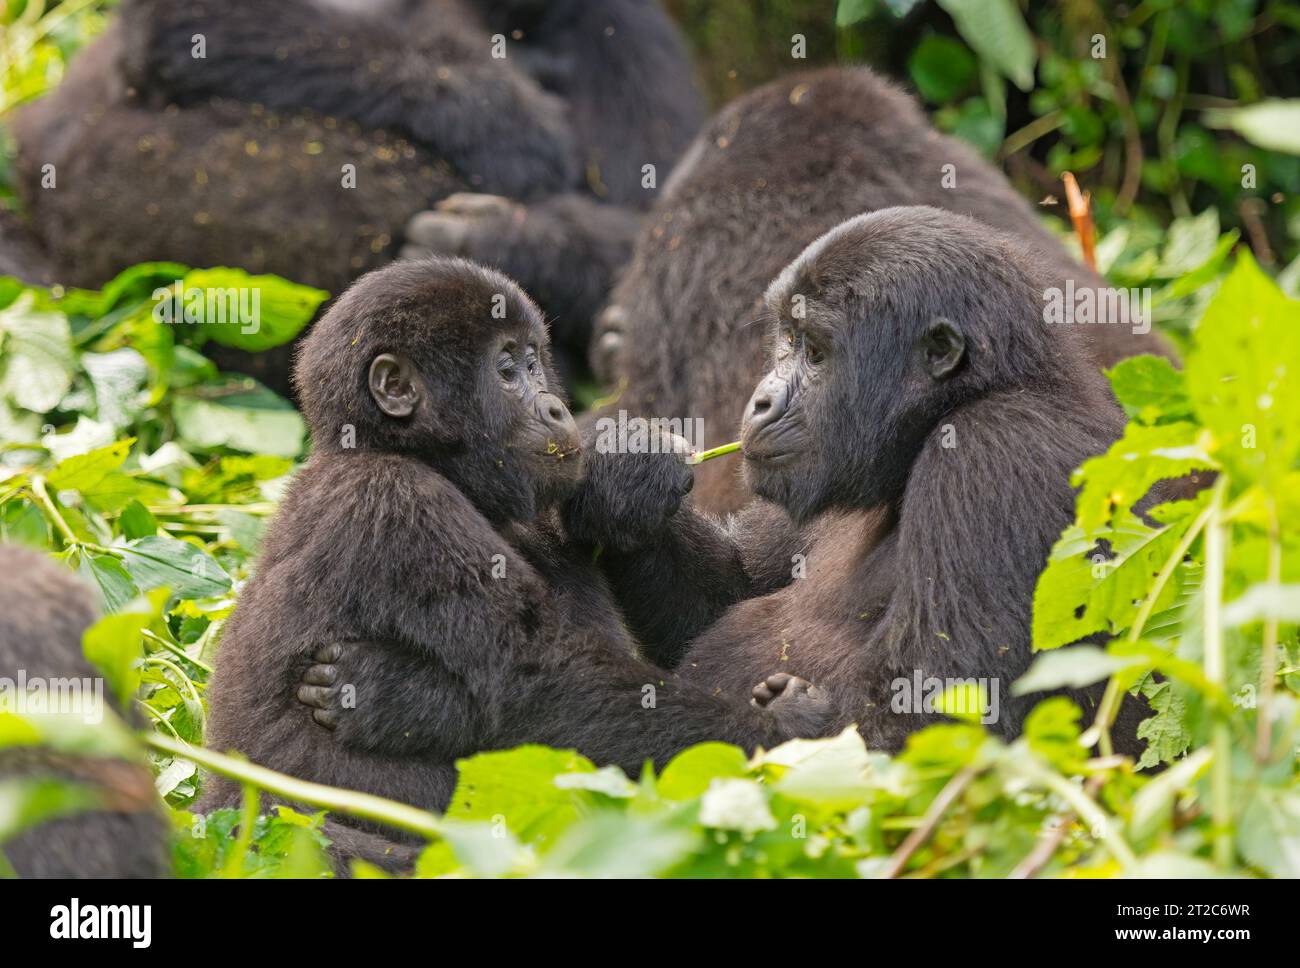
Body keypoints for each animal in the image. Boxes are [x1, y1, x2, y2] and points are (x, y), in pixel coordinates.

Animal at [205, 254, 832, 862]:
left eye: (535, 363)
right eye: (507, 371)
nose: (556, 408)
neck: (410, 453)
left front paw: (625, 478)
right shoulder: (395, 501)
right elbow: (539, 686)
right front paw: (780, 732)